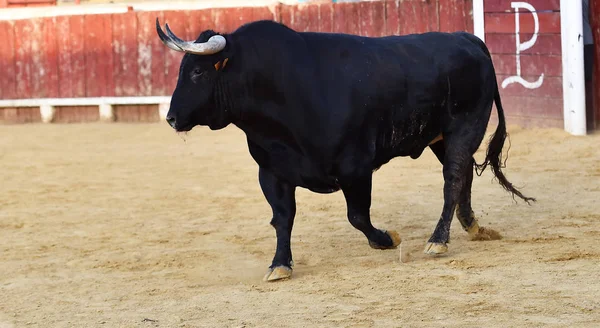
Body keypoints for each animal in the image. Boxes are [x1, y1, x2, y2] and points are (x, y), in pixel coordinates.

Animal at [155, 19, 536, 280]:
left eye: (198, 72)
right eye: (183, 70)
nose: (171, 118)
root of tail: (466, 38)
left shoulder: (356, 167)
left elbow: (358, 216)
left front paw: (387, 239)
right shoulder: (273, 171)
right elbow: (282, 218)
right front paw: (279, 265)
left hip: (463, 128)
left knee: (453, 179)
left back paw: (438, 240)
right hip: (441, 138)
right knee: (464, 176)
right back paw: (473, 227)